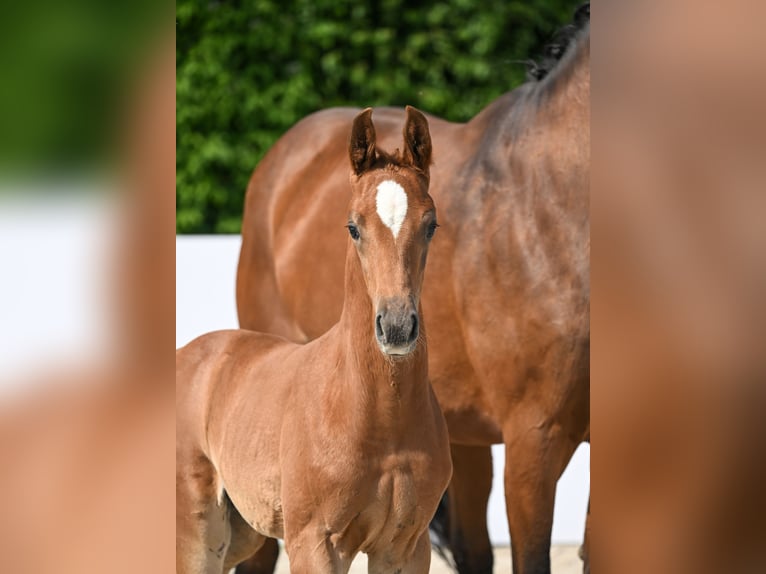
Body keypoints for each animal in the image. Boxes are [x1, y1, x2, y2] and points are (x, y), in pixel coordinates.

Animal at [177, 106, 452, 573]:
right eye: (353, 227)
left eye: (430, 225)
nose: (397, 327)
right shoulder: (314, 542)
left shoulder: (406, 547)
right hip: (197, 536)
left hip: (239, 534)